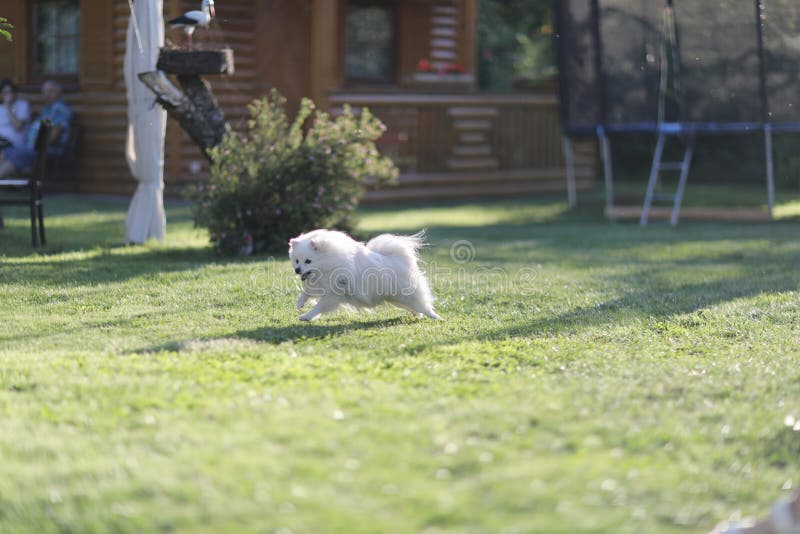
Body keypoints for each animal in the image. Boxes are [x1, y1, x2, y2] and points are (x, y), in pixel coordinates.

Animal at [288, 230, 440, 322]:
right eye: (297, 261)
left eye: (308, 261)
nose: (297, 270)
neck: (329, 262)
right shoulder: (321, 286)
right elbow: (306, 293)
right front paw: (300, 304)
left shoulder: (334, 294)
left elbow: (319, 307)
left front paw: (306, 316)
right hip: (397, 298)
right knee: (415, 307)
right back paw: (417, 314)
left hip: (406, 294)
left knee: (424, 305)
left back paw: (436, 317)